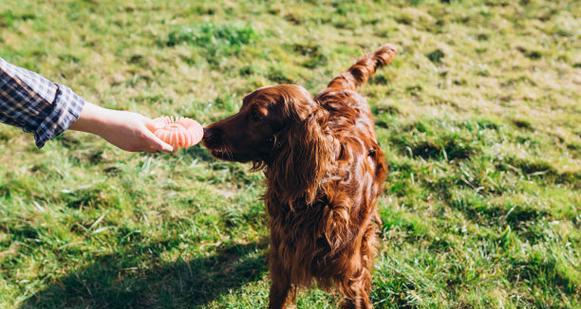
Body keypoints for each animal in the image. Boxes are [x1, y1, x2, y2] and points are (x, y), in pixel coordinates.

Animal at [202, 44, 396, 306]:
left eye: (256, 116)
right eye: (242, 105)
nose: (205, 132)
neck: (317, 193)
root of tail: (340, 88)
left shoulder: (352, 277)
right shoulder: (283, 266)